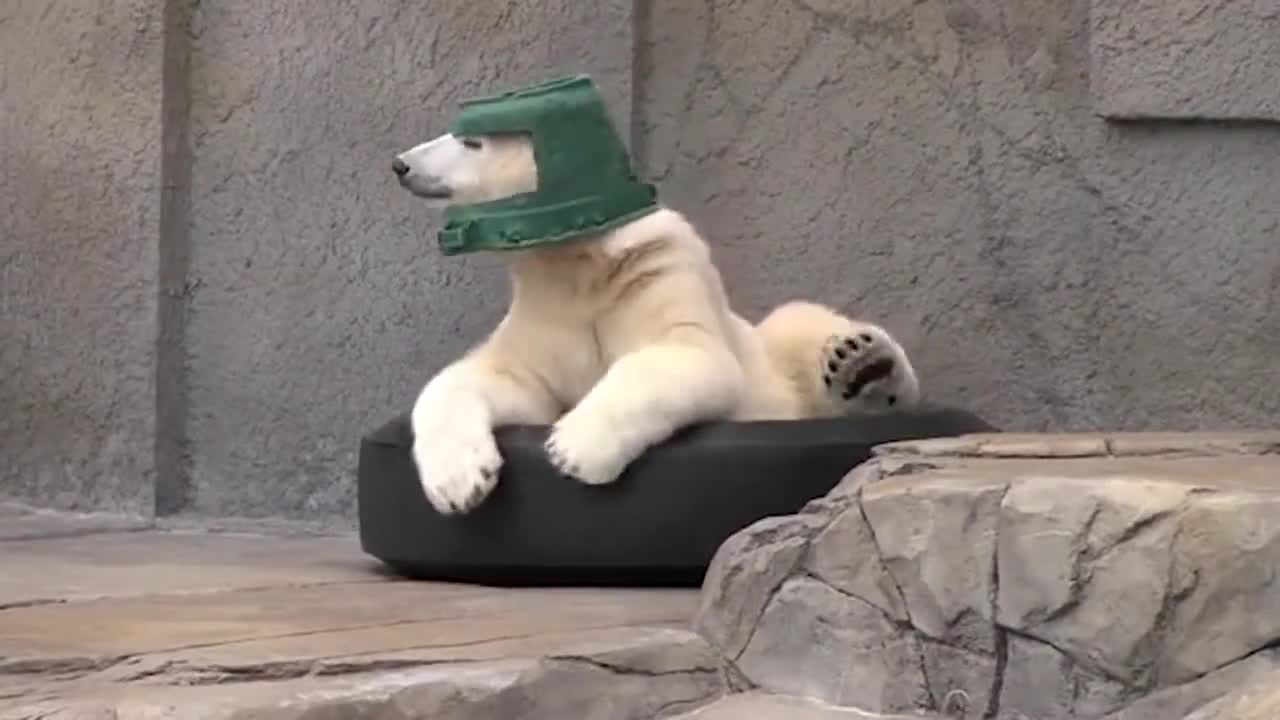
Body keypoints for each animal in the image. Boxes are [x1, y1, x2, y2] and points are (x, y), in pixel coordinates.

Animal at [392, 130, 920, 515]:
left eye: (471, 141)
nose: (401, 163)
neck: (579, 262)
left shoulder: (658, 272)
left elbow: (689, 355)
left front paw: (574, 448)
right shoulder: (546, 313)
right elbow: (501, 380)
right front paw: (459, 483)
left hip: (778, 362)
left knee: (799, 323)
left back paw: (863, 364)